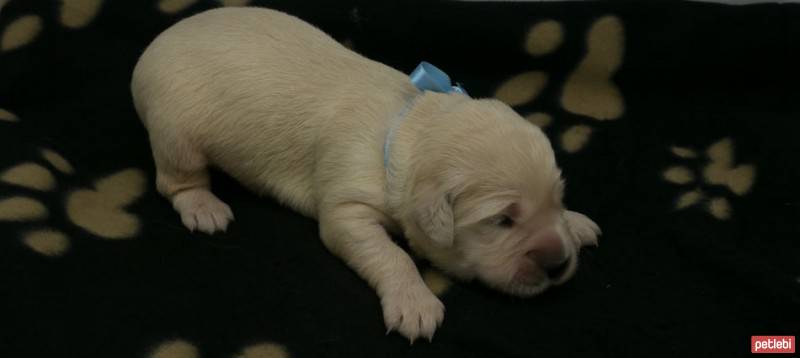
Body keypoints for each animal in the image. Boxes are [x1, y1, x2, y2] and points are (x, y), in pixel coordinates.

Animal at [130, 5, 600, 342]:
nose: (559, 263)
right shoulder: (346, 208)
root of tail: (153, 46)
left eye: (557, 199)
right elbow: (392, 255)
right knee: (175, 181)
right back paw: (203, 206)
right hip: (176, 131)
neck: (407, 128)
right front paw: (415, 303)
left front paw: (575, 223)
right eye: (502, 220)